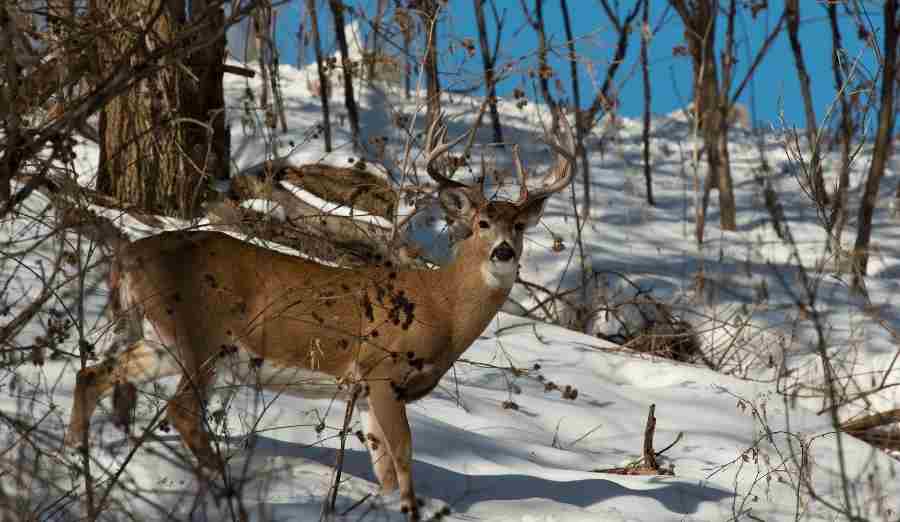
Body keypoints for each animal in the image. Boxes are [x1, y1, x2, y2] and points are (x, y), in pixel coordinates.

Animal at [67, 112, 576, 516]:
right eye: (482, 223)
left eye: (519, 225)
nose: (504, 251)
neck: (442, 309)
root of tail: (129, 255)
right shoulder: (382, 370)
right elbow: (403, 454)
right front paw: (408, 508)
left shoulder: (368, 391)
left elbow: (382, 464)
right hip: (202, 332)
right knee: (181, 409)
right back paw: (224, 487)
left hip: (160, 337)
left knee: (95, 372)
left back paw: (79, 450)